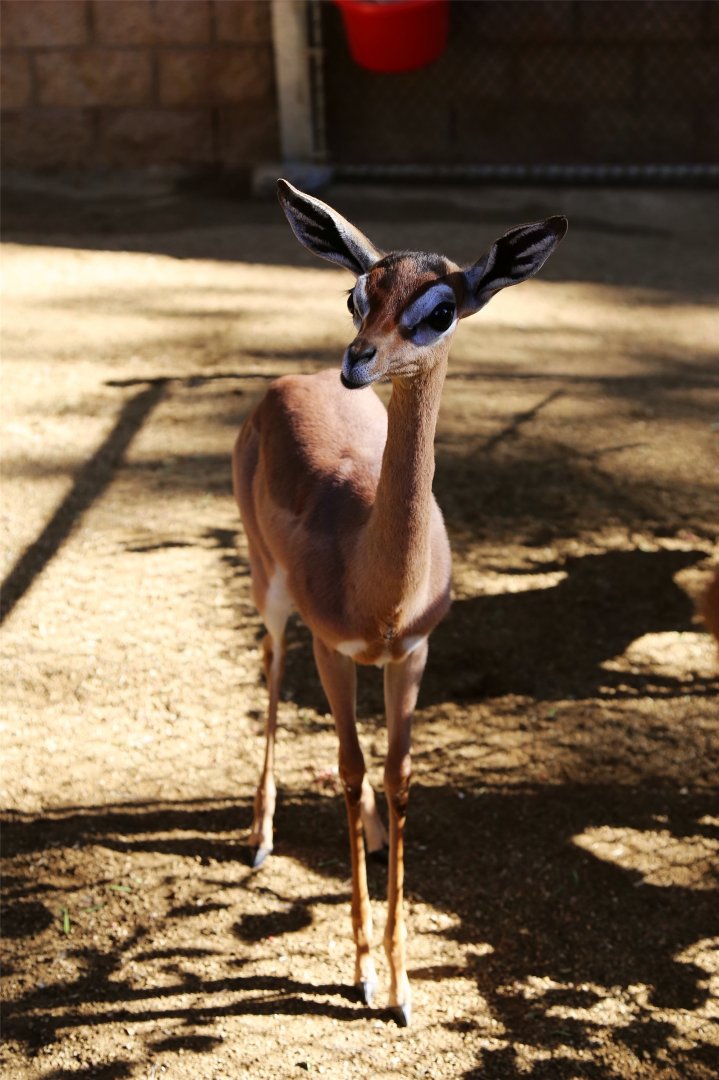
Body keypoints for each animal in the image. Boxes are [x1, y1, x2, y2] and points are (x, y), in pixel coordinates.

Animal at [232, 180, 567, 1025]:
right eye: (356, 295)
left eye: (441, 308)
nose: (359, 360)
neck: (376, 589)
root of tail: (293, 383)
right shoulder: (333, 648)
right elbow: (349, 771)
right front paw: (360, 973)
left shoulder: (411, 654)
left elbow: (397, 775)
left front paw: (405, 984)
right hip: (268, 588)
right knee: (272, 665)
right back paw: (259, 835)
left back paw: (371, 836)